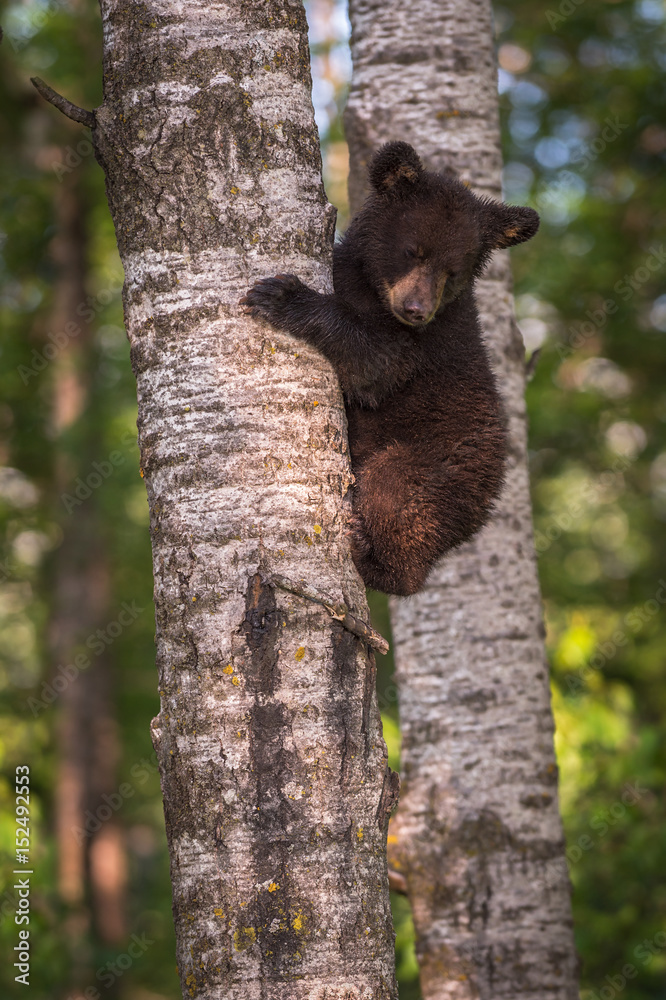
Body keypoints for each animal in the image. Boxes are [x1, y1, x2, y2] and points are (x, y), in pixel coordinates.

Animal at [241, 141, 539, 596]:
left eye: (453, 271)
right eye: (413, 251)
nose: (416, 309)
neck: (374, 292)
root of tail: (483, 511)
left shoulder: (424, 345)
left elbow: (373, 364)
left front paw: (283, 296)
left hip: (434, 472)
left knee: (394, 493)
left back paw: (373, 558)